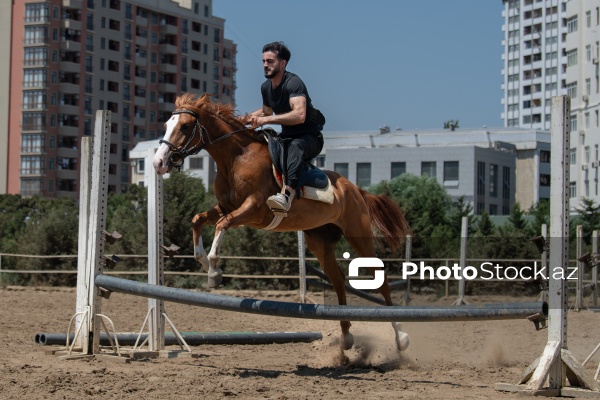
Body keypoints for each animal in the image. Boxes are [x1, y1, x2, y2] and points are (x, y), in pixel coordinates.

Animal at [152, 94, 410, 350]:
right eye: (165, 125)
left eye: (185, 126)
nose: (158, 163)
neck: (236, 158)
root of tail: (355, 189)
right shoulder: (226, 207)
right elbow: (198, 220)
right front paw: (206, 265)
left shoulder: (254, 209)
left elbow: (222, 224)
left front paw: (214, 270)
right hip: (319, 241)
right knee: (337, 279)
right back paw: (346, 336)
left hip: (358, 233)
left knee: (380, 279)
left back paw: (401, 337)